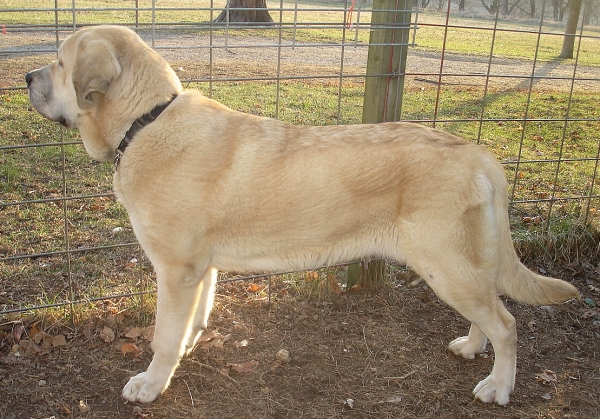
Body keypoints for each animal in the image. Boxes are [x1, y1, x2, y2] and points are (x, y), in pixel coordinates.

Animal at [25, 24, 580, 406]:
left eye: (59, 62)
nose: (28, 76)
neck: (146, 120)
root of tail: (478, 153)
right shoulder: (200, 270)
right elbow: (193, 321)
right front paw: (186, 351)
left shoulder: (176, 270)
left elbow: (163, 336)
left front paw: (151, 383)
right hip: (458, 265)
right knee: (489, 312)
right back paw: (471, 347)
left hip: (445, 264)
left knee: (506, 322)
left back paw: (497, 386)